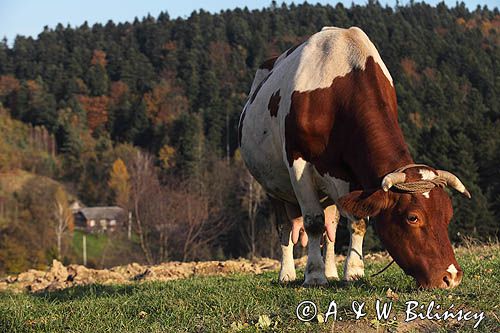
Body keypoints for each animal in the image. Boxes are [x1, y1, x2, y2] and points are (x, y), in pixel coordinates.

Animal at [237, 26, 468, 288]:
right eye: (413, 218)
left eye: (448, 215)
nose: (451, 276)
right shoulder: (298, 162)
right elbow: (313, 221)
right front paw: (314, 275)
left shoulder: (353, 173)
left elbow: (356, 221)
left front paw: (353, 272)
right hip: (273, 187)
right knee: (285, 227)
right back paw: (287, 274)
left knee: (330, 228)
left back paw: (331, 272)